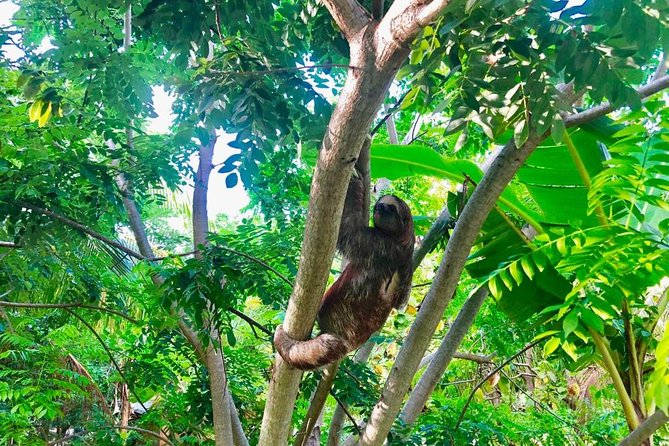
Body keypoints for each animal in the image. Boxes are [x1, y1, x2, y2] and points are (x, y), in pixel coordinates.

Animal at [274, 164, 415, 370]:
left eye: (391, 207)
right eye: (379, 205)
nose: (379, 207)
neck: (402, 240)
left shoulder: (380, 245)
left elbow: (349, 231)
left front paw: (354, 178)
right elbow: (401, 302)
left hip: (338, 340)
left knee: (319, 348)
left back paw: (283, 340)